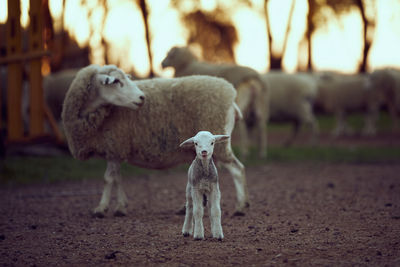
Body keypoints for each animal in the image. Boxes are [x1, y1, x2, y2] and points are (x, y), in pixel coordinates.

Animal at [61, 64, 250, 218]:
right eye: (117, 81)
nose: (141, 98)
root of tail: (232, 97)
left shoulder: (115, 145)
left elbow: (109, 178)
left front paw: (101, 208)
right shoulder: (115, 149)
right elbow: (117, 178)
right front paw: (121, 206)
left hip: (218, 141)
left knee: (237, 170)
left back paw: (240, 207)